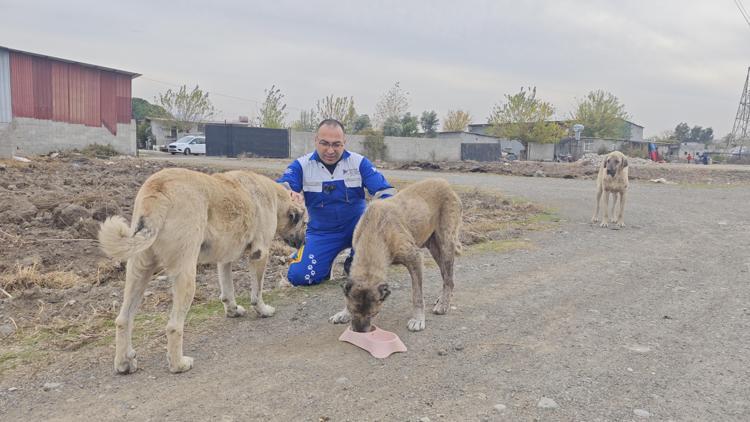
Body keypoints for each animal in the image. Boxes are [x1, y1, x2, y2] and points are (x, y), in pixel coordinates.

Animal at [99, 167, 306, 372]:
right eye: (304, 223)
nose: (303, 242)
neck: (275, 196)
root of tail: (157, 188)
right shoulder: (260, 254)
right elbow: (257, 292)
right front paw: (263, 310)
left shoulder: (225, 258)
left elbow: (227, 290)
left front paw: (233, 310)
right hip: (186, 275)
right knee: (173, 326)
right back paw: (178, 364)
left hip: (138, 272)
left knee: (123, 319)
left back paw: (124, 363)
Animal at [330, 178, 464, 332]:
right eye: (353, 311)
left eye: (373, 314)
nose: (359, 332)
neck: (375, 232)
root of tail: (445, 183)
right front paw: (343, 313)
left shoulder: (415, 258)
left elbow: (417, 295)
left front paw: (418, 319)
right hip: (435, 248)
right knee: (447, 277)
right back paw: (443, 299)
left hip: (446, 243)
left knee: (448, 278)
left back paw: (443, 304)